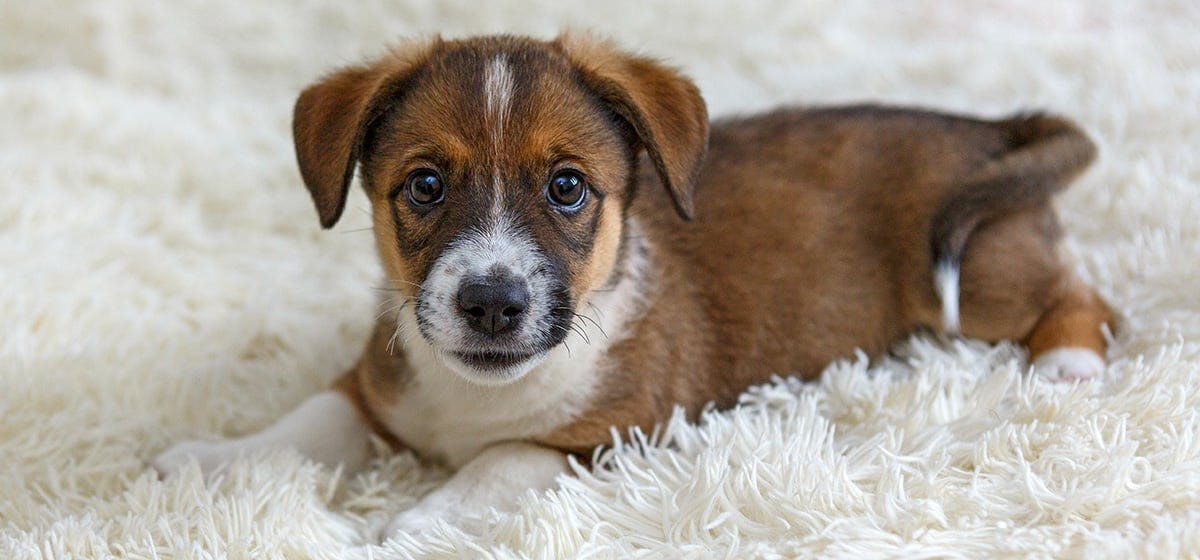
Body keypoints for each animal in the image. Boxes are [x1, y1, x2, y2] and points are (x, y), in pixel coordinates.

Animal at [152, 34, 1113, 539]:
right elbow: (302, 423)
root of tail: (994, 132)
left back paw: (1067, 368)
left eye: (568, 187)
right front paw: (209, 460)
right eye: (423, 185)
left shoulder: (609, 437)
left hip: (978, 277)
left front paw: (414, 526)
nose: (491, 303)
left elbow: (501, 461)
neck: (474, 396)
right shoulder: (375, 385)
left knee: (1084, 298)